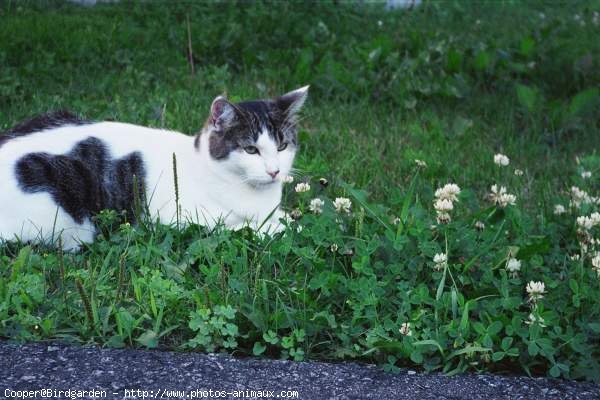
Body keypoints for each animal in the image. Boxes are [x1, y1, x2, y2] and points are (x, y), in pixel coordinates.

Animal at [0, 86, 310, 250]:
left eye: (282, 146)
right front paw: (277, 229)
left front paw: (291, 221)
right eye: (251, 150)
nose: (274, 171)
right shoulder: (179, 220)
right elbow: (245, 227)